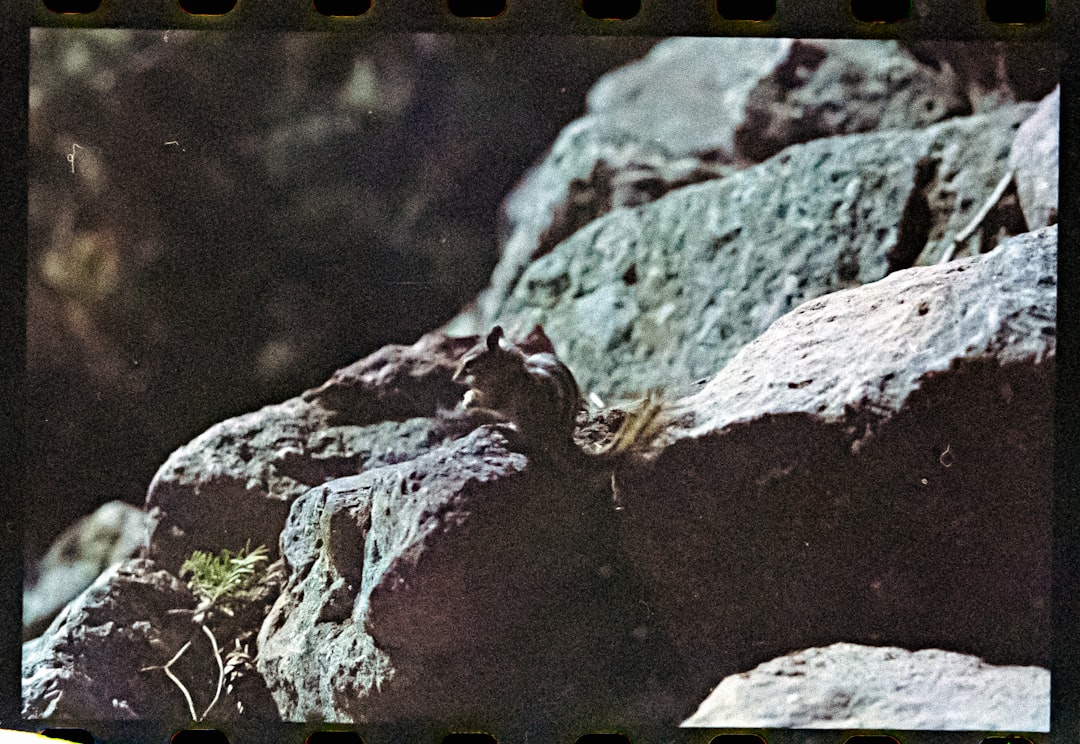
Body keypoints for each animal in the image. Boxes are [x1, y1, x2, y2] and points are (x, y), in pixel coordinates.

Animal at [451, 325, 669, 463]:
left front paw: (468, 399)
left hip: (526, 417)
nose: (454, 379)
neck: (506, 369)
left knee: (531, 441)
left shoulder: (500, 393)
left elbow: (489, 401)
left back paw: (506, 431)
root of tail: (564, 438)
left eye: (469, 364)